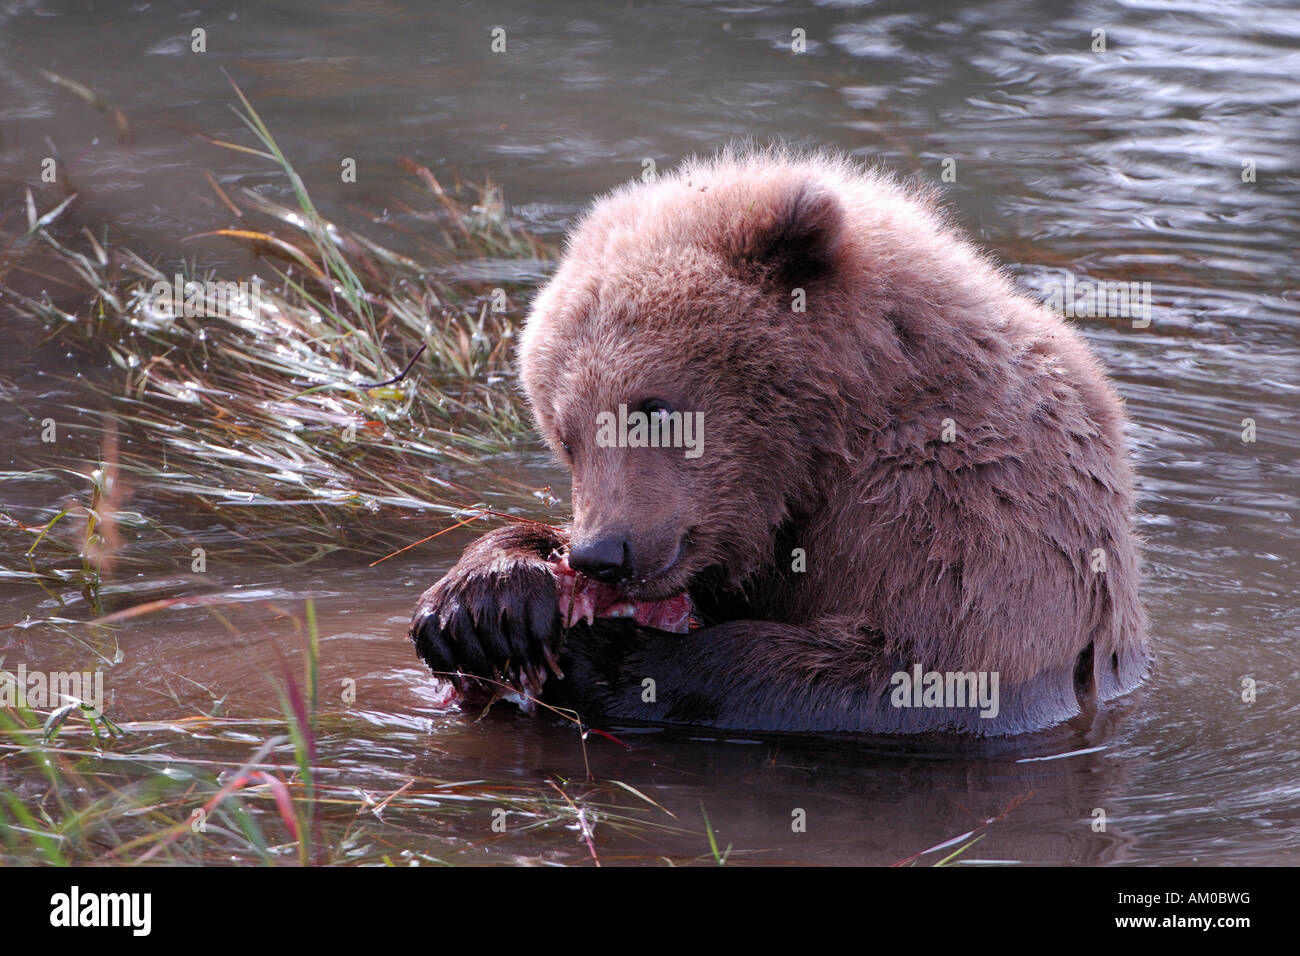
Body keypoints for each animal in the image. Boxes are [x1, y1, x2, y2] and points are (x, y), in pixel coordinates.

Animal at [408, 145, 1149, 738]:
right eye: (564, 434)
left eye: (652, 409)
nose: (603, 554)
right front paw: (486, 606)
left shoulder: (972, 511)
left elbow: (921, 670)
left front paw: (611, 656)